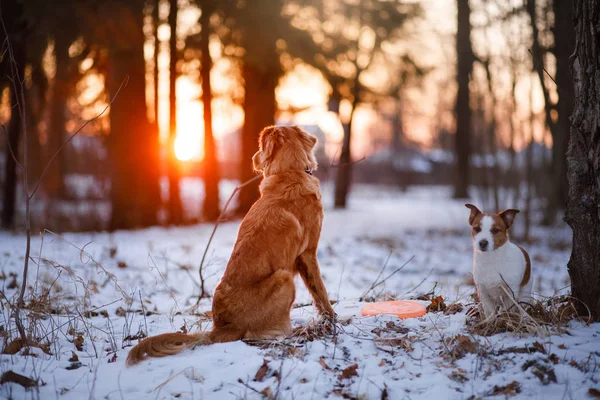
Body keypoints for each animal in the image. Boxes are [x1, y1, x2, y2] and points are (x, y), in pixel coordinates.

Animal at [127, 126, 336, 368]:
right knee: (261, 333)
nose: (252, 157)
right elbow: (321, 293)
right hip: (283, 277)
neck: (291, 171)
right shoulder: (308, 254)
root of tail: (221, 327)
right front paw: (333, 320)